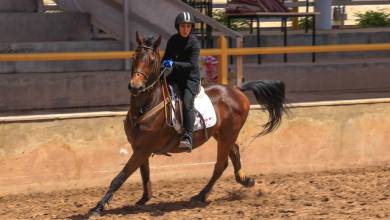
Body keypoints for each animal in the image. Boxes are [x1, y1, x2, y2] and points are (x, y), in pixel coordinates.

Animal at [90, 32, 286, 215]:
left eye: (152, 60)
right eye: (134, 56)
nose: (135, 86)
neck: (148, 105)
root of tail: (237, 90)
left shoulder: (143, 148)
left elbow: (121, 176)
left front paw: (98, 207)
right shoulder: (139, 147)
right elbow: (144, 174)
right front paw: (144, 198)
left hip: (228, 134)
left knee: (220, 165)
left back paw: (201, 195)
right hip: (223, 135)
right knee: (234, 152)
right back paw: (245, 180)